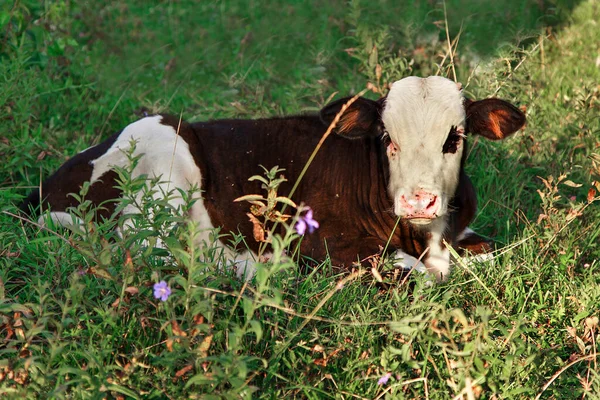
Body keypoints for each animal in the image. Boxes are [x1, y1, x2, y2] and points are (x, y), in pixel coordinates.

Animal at [19, 76, 524, 282]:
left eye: (455, 137)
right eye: (387, 138)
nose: (418, 201)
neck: (424, 236)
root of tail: (42, 190)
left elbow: (492, 252)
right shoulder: (329, 245)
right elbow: (421, 275)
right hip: (161, 152)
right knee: (153, 254)